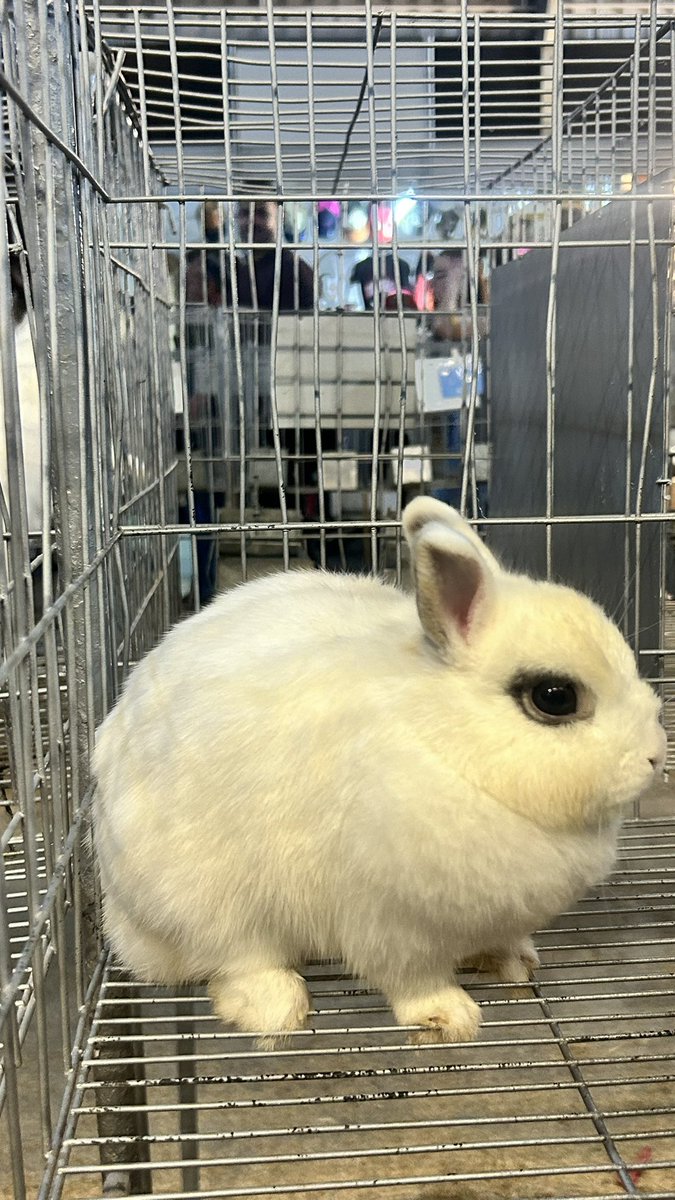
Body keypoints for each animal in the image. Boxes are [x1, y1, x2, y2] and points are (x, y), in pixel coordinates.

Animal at [93, 497, 666, 1043]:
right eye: (555, 696)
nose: (656, 756)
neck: (448, 746)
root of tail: (120, 918)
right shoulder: (392, 925)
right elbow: (412, 980)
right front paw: (451, 1017)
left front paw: (514, 962)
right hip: (208, 902)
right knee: (239, 960)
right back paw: (280, 1008)